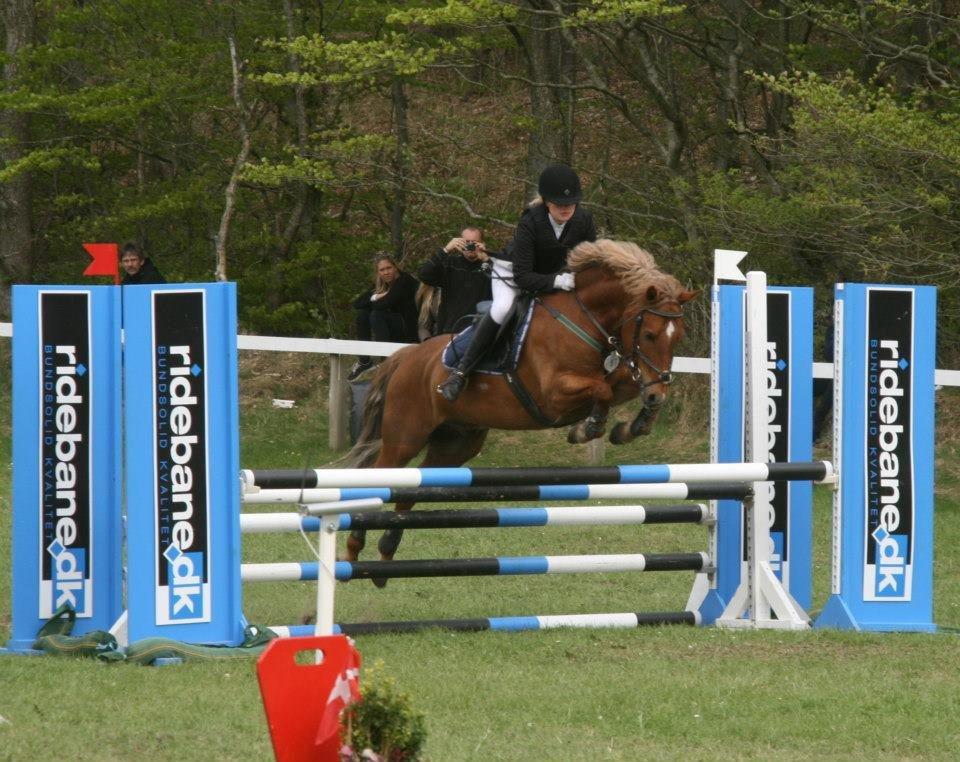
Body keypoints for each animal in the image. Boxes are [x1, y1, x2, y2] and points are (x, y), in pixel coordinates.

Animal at [342, 240, 692, 572]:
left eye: (677, 338)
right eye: (649, 334)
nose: (657, 393)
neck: (585, 317)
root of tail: (405, 356)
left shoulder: (616, 378)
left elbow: (624, 385)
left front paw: (632, 426)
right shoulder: (553, 394)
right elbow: (602, 390)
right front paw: (588, 428)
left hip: (456, 443)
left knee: (413, 491)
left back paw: (386, 555)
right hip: (405, 436)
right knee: (380, 477)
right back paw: (355, 545)